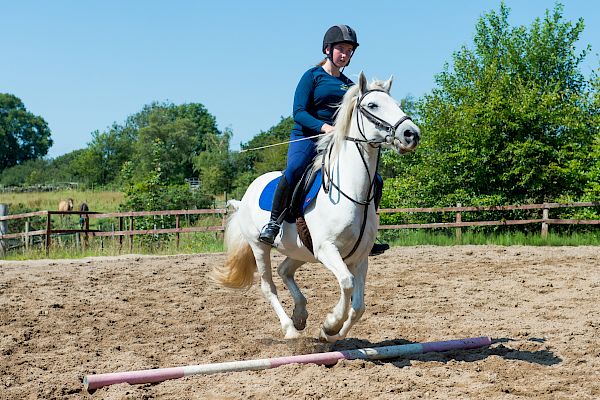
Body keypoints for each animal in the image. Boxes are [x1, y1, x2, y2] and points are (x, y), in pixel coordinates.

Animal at [213, 71, 420, 340]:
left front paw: (331, 334)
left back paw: (300, 315)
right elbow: (346, 283)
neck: (351, 191)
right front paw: (331, 322)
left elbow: (359, 306)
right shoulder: (327, 249)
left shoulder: (360, 257)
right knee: (269, 286)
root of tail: (247, 194)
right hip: (260, 247)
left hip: (300, 250)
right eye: (373, 105)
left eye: (397, 104)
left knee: (285, 271)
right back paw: (290, 329)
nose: (411, 134)